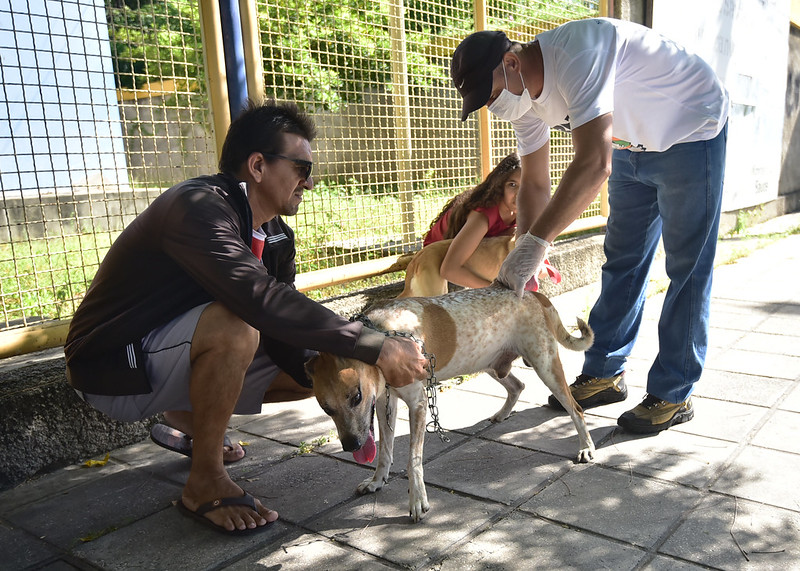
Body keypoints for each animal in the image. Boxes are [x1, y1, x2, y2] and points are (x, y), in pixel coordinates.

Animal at [304, 286, 592, 524]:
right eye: (326, 409)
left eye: (357, 397)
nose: (351, 445)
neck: (384, 335)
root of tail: (533, 294)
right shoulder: (386, 401)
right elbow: (384, 451)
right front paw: (377, 482)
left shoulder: (418, 404)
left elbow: (413, 460)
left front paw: (417, 501)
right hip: (490, 363)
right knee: (517, 385)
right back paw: (502, 414)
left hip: (545, 365)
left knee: (575, 409)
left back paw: (586, 448)